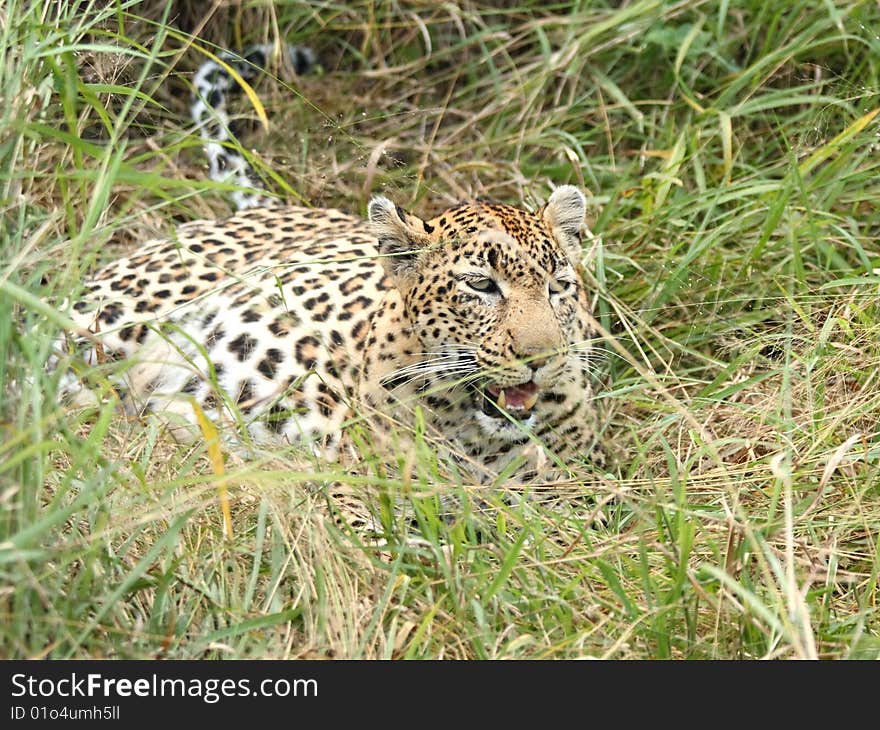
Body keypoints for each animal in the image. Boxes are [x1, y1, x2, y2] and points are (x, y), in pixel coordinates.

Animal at [56, 44, 604, 484]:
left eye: (558, 288)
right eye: (481, 286)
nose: (542, 358)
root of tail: (273, 207)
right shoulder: (360, 474)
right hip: (114, 316)